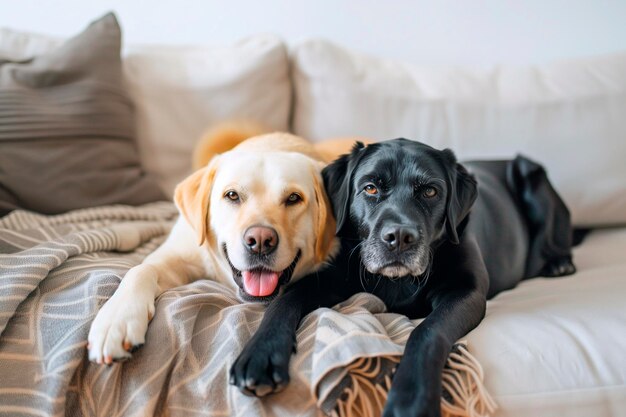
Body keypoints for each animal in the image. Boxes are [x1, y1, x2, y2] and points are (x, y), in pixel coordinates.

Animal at [85, 127, 342, 364]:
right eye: (232, 195)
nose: (260, 241)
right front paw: (117, 319)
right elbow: (140, 270)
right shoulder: (176, 255)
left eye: (293, 198)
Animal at [230, 138, 576, 414]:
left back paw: (559, 263)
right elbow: (283, 300)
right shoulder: (327, 280)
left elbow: (426, 332)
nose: (399, 237)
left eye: (431, 191)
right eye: (370, 188)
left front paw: (411, 398)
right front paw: (260, 354)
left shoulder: (466, 291)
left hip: (532, 176)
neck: (396, 282)